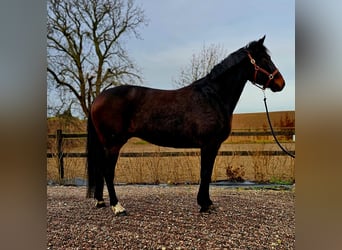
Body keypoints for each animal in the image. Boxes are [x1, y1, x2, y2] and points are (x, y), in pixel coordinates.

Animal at [87, 36, 284, 215]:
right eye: (264, 59)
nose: (281, 83)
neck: (213, 96)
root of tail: (99, 97)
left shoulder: (211, 146)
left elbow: (207, 173)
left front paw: (207, 203)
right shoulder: (209, 145)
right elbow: (205, 172)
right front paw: (205, 205)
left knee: (99, 169)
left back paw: (100, 201)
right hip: (113, 144)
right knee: (108, 171)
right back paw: (117, 207)